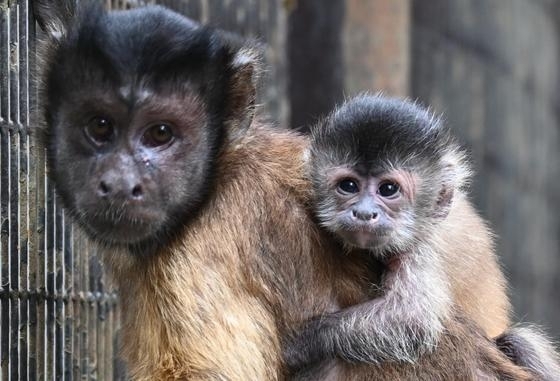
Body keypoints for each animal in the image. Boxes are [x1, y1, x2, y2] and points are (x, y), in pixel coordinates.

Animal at [286, 95, 556, 380]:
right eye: (348, 186)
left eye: (388, 189)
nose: (364, 212)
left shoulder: (422, 245)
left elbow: (413, 320)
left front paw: (303, 344)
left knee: (518, 340)